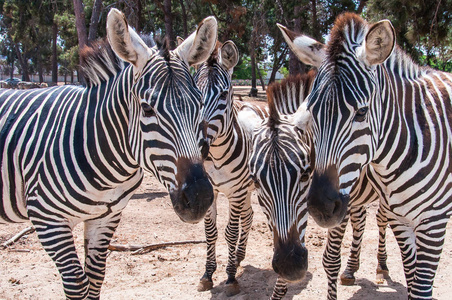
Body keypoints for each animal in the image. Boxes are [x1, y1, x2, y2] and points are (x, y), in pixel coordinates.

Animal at [0, 8, 218, 298]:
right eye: (147, 108)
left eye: (200, 105)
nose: (200, 197)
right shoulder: (47, 219)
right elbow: (77, 284)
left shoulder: (106, 217)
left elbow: (95, 277)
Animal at [282, 11, 452, 298]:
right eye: (311, 112)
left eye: (361, 112)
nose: (320, 207)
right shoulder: (399, 217)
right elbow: (411, 275)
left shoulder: (434, 221)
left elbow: (420, 287)